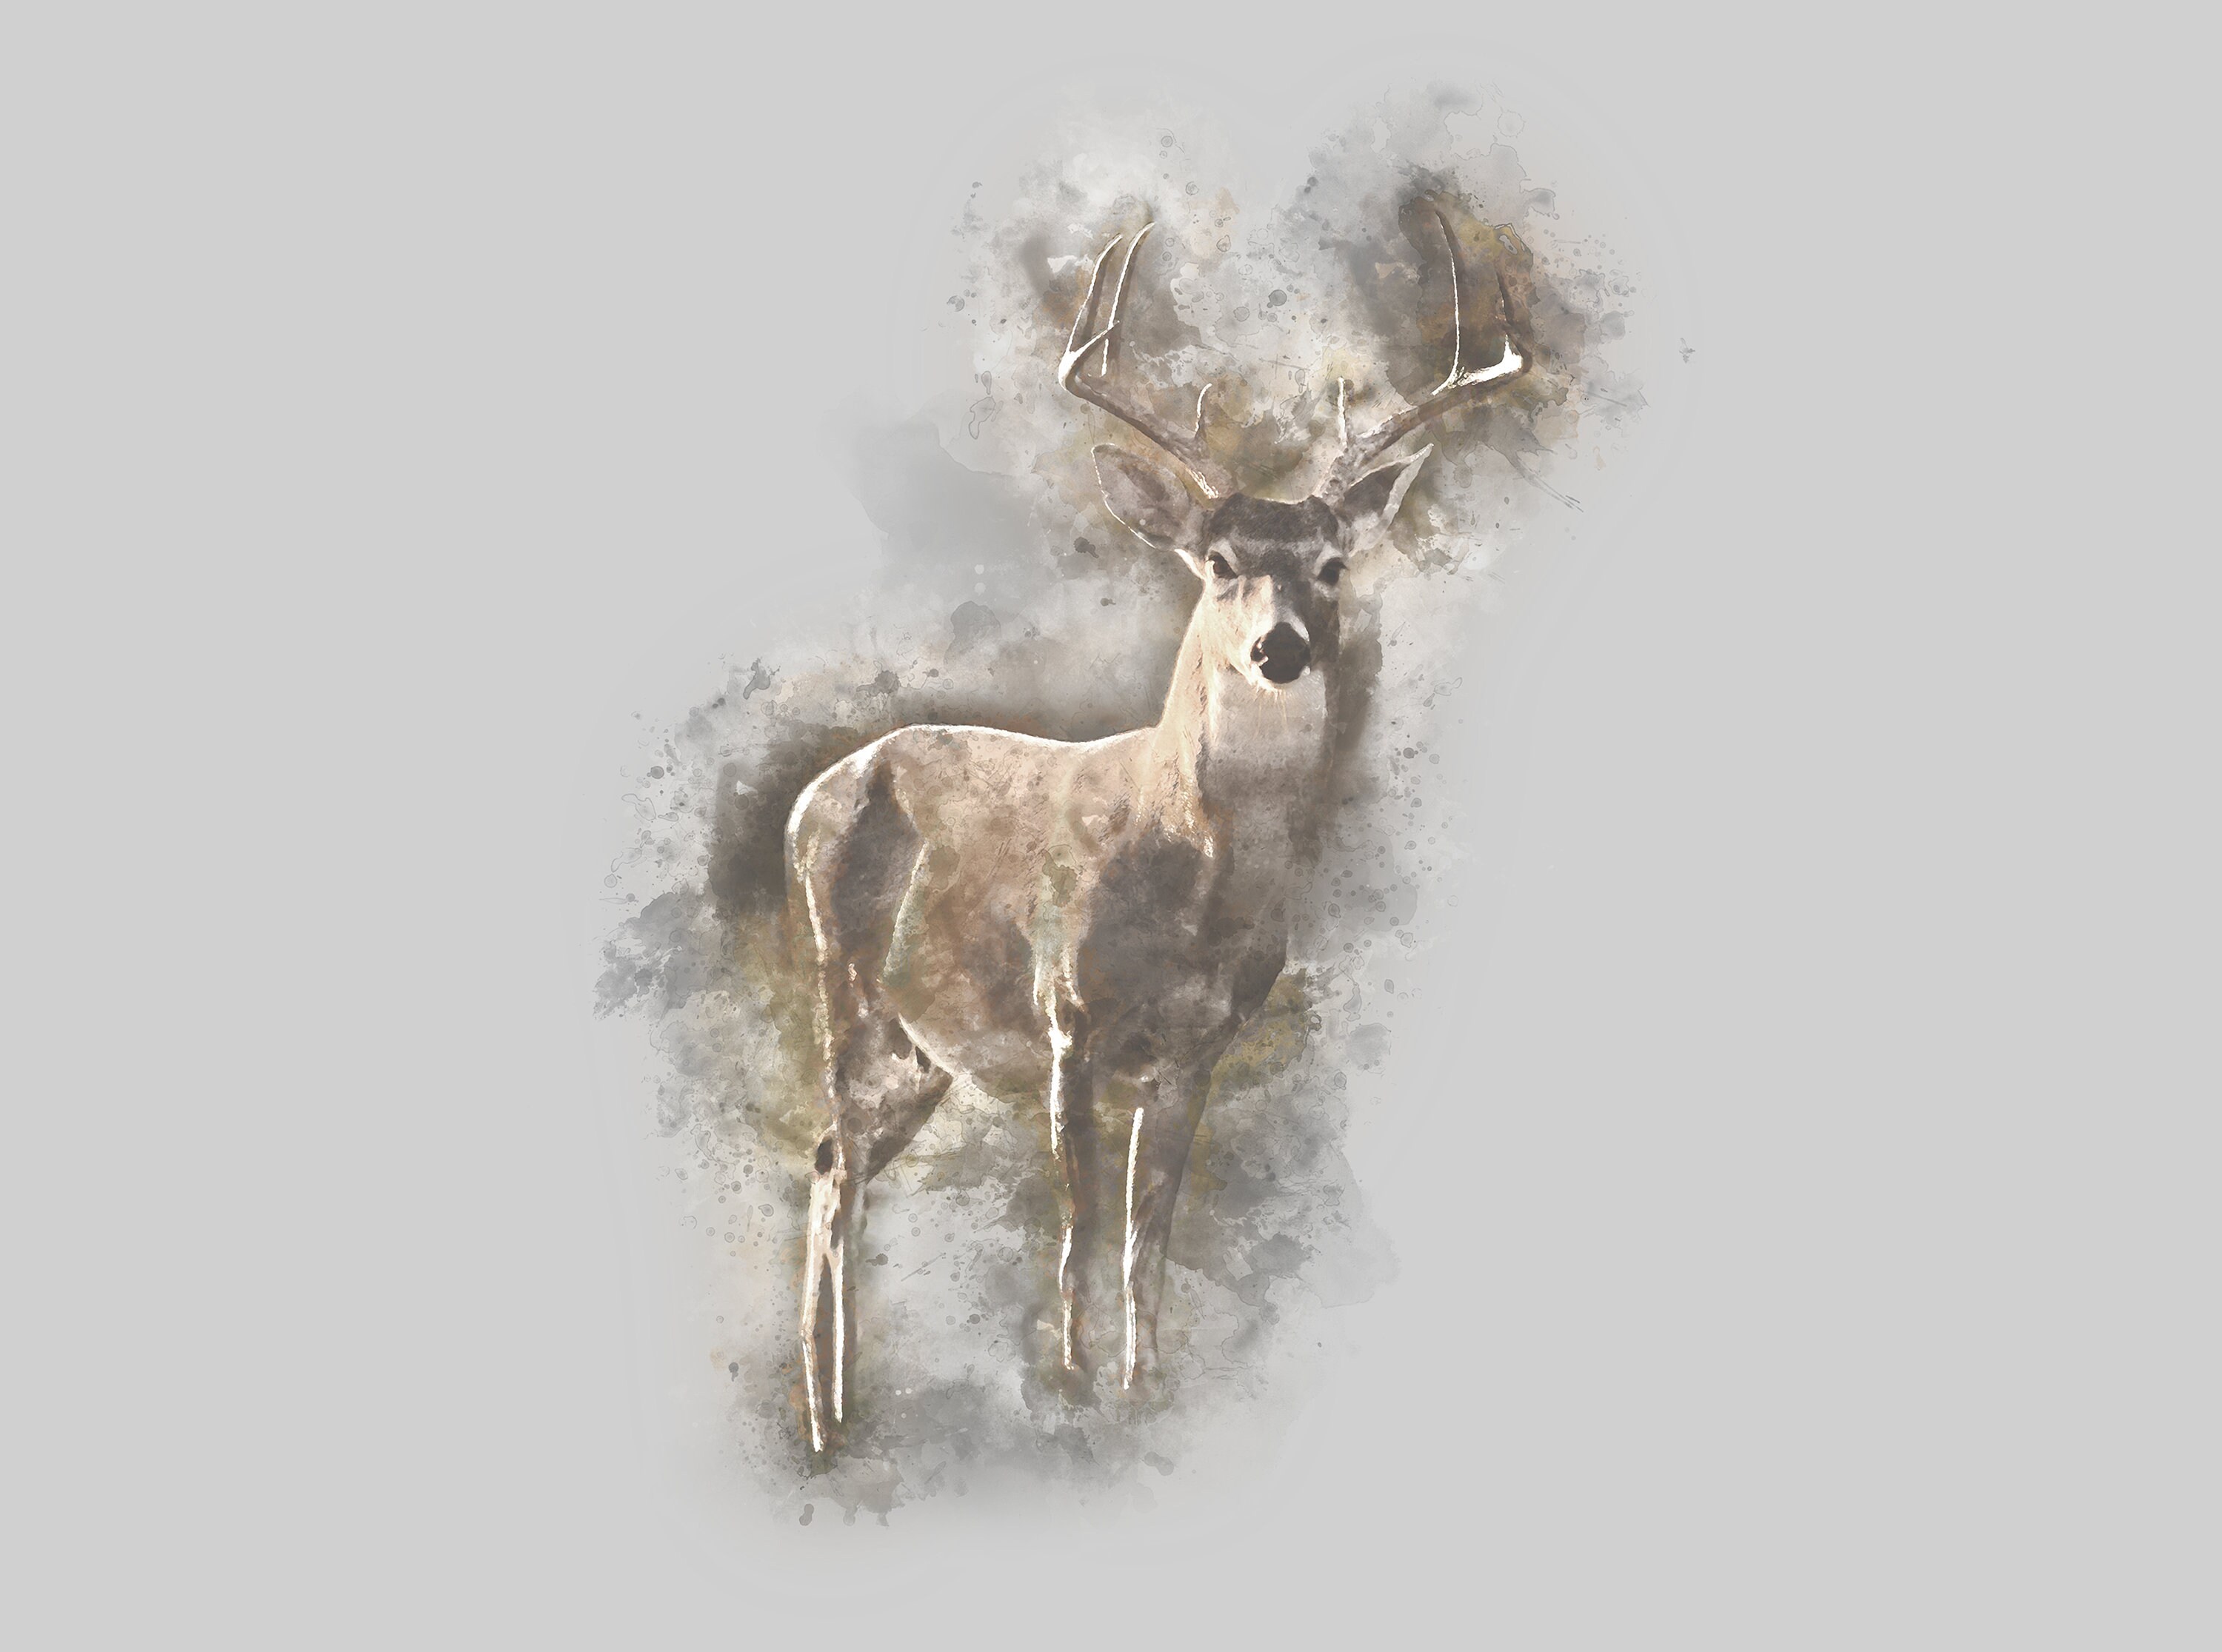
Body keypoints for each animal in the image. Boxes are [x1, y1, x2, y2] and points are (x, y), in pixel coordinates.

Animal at [788, 201, 1533, 1452]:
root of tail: (805, 798)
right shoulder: (1069, 1021)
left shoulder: (1196, 1051)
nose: (1280, 646)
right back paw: (827, 1423)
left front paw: (1144, 1397)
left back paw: (840, 1411)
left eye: (1334, 564)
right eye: (1219, 561)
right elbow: (1082, 1232)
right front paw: (1076, 1392)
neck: (1195, 887)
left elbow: (1149, 1244)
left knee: (829, 1159)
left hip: (925, 1048)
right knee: (835, 1164)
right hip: (846, 988)